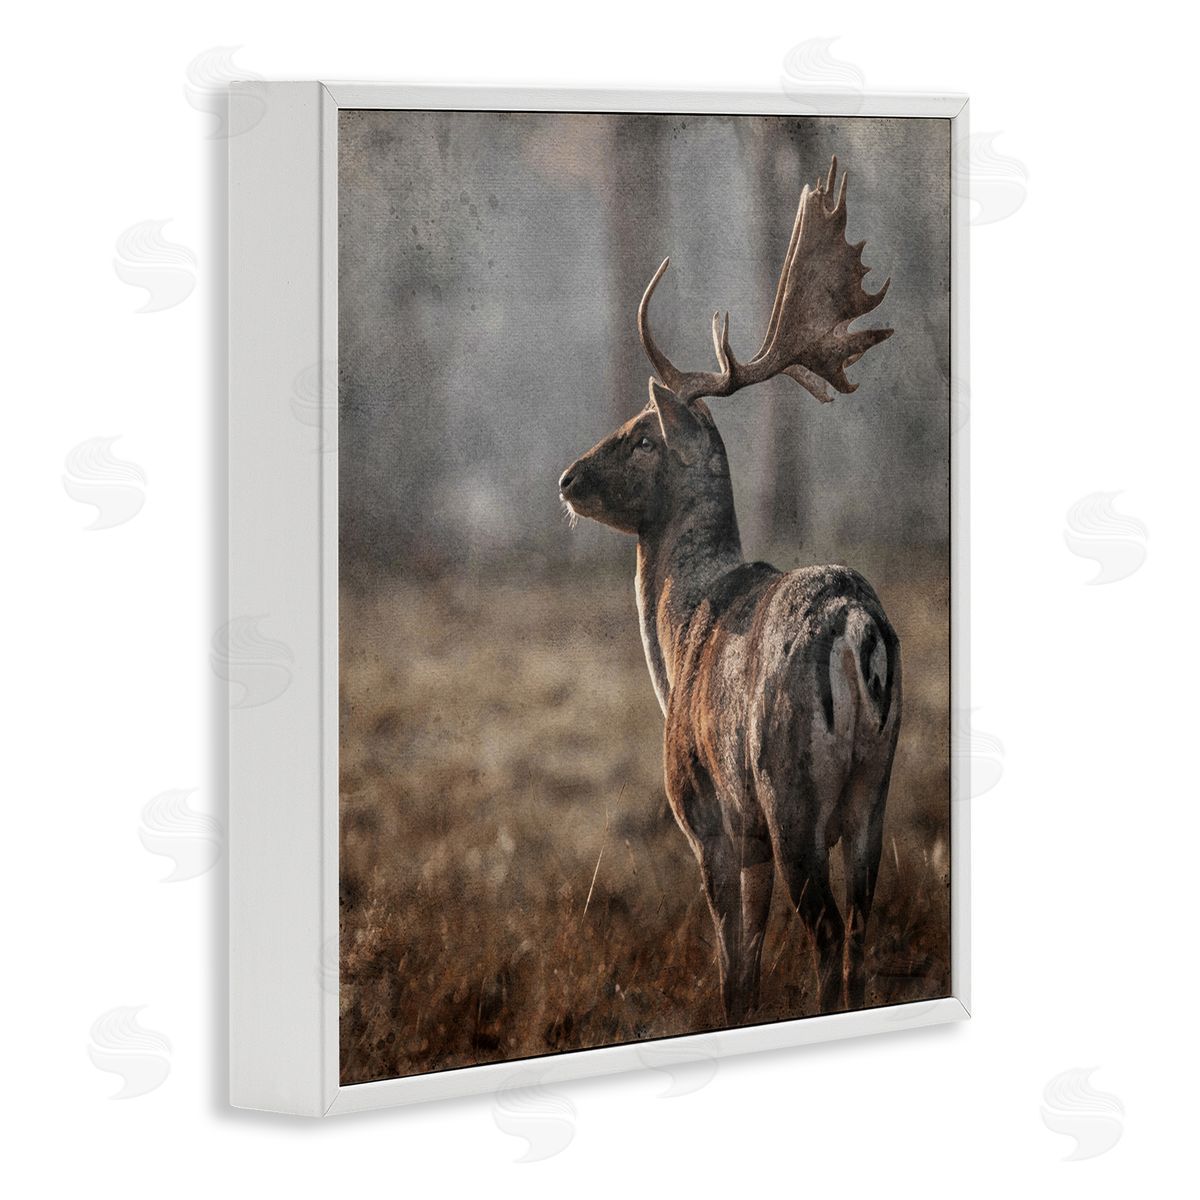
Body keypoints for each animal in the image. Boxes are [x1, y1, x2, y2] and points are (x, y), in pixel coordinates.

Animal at [558, 157, 900, 1021]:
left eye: (642, 435)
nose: (567, 478)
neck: (679, 640)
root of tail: (860, 631)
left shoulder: (710, 818)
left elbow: (734, 972)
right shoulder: (751, 840)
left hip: (790, 791)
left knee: (828, 937)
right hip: (873, 791)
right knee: (861, 929)